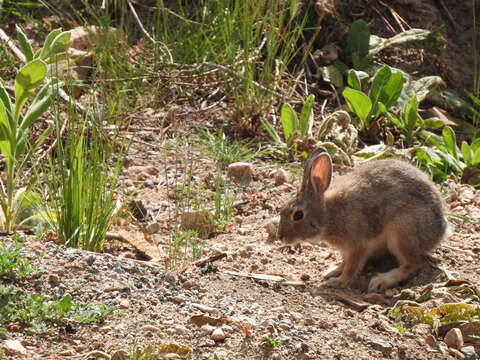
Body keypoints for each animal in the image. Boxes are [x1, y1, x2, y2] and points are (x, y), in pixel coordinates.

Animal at [278, 148, 450, 292]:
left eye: (298, 215)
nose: (280, 237)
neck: (328, 214)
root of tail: (440, 231)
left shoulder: (357, 244)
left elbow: (351, 267)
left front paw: (338, 282)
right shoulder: (346, 250)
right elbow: (344, 262)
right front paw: (331, 271)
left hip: (402, 231)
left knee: (413, 264)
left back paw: (381, 281)